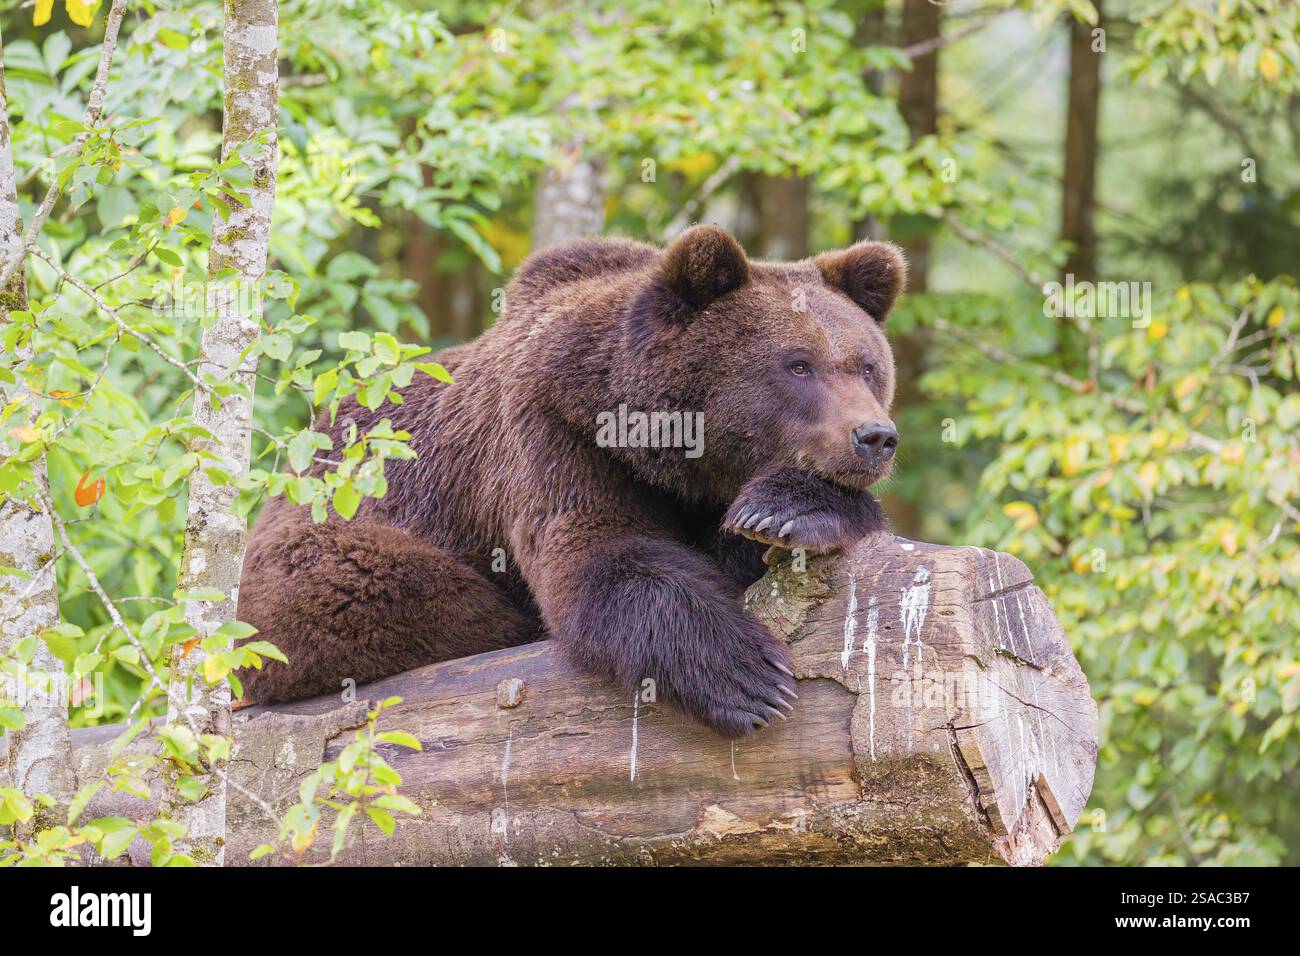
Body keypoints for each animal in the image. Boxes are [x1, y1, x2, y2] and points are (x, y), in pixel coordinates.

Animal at [236, 225, 906, 738]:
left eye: (867, 365)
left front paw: (786, 511)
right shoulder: (553, 438)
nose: (874, 436)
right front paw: (746, 675)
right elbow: (599, 555)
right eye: (798, 365)